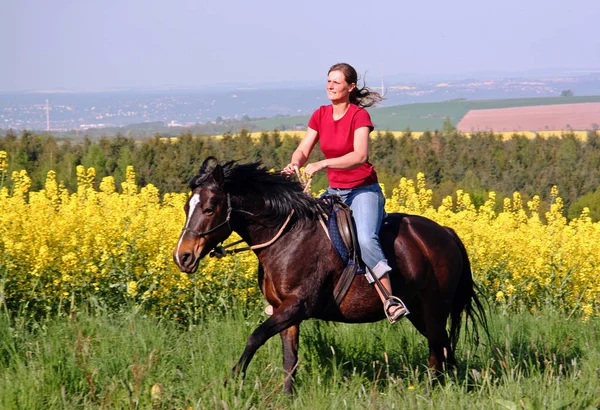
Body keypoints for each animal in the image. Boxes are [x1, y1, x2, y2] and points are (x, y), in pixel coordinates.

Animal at [172, 157, 488, 394]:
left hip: (434, 309)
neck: (285, 236)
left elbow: (255, 337)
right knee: (443, 348)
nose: (182, 257)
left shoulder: (297, 305)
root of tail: (445, 232)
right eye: (187, 206)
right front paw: (286, 397)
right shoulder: (285, 310)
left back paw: (431, 392)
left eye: (209, 208)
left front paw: (232, 382)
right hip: (420, 313)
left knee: (438, 350)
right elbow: (289, 357)